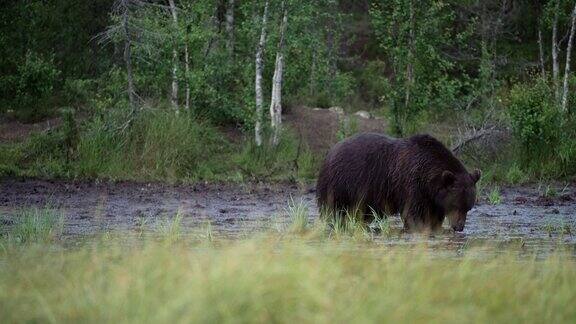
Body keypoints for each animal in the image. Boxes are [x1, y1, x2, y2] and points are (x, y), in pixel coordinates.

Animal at [318, 133, 480, 232]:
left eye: (468, 207)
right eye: (455, 205)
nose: (459, 227)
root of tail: (331, 151)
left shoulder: (433, 198)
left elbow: (433, 217)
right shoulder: (411, 184)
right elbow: (413, 213)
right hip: (342, 183)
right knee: (335, 209)